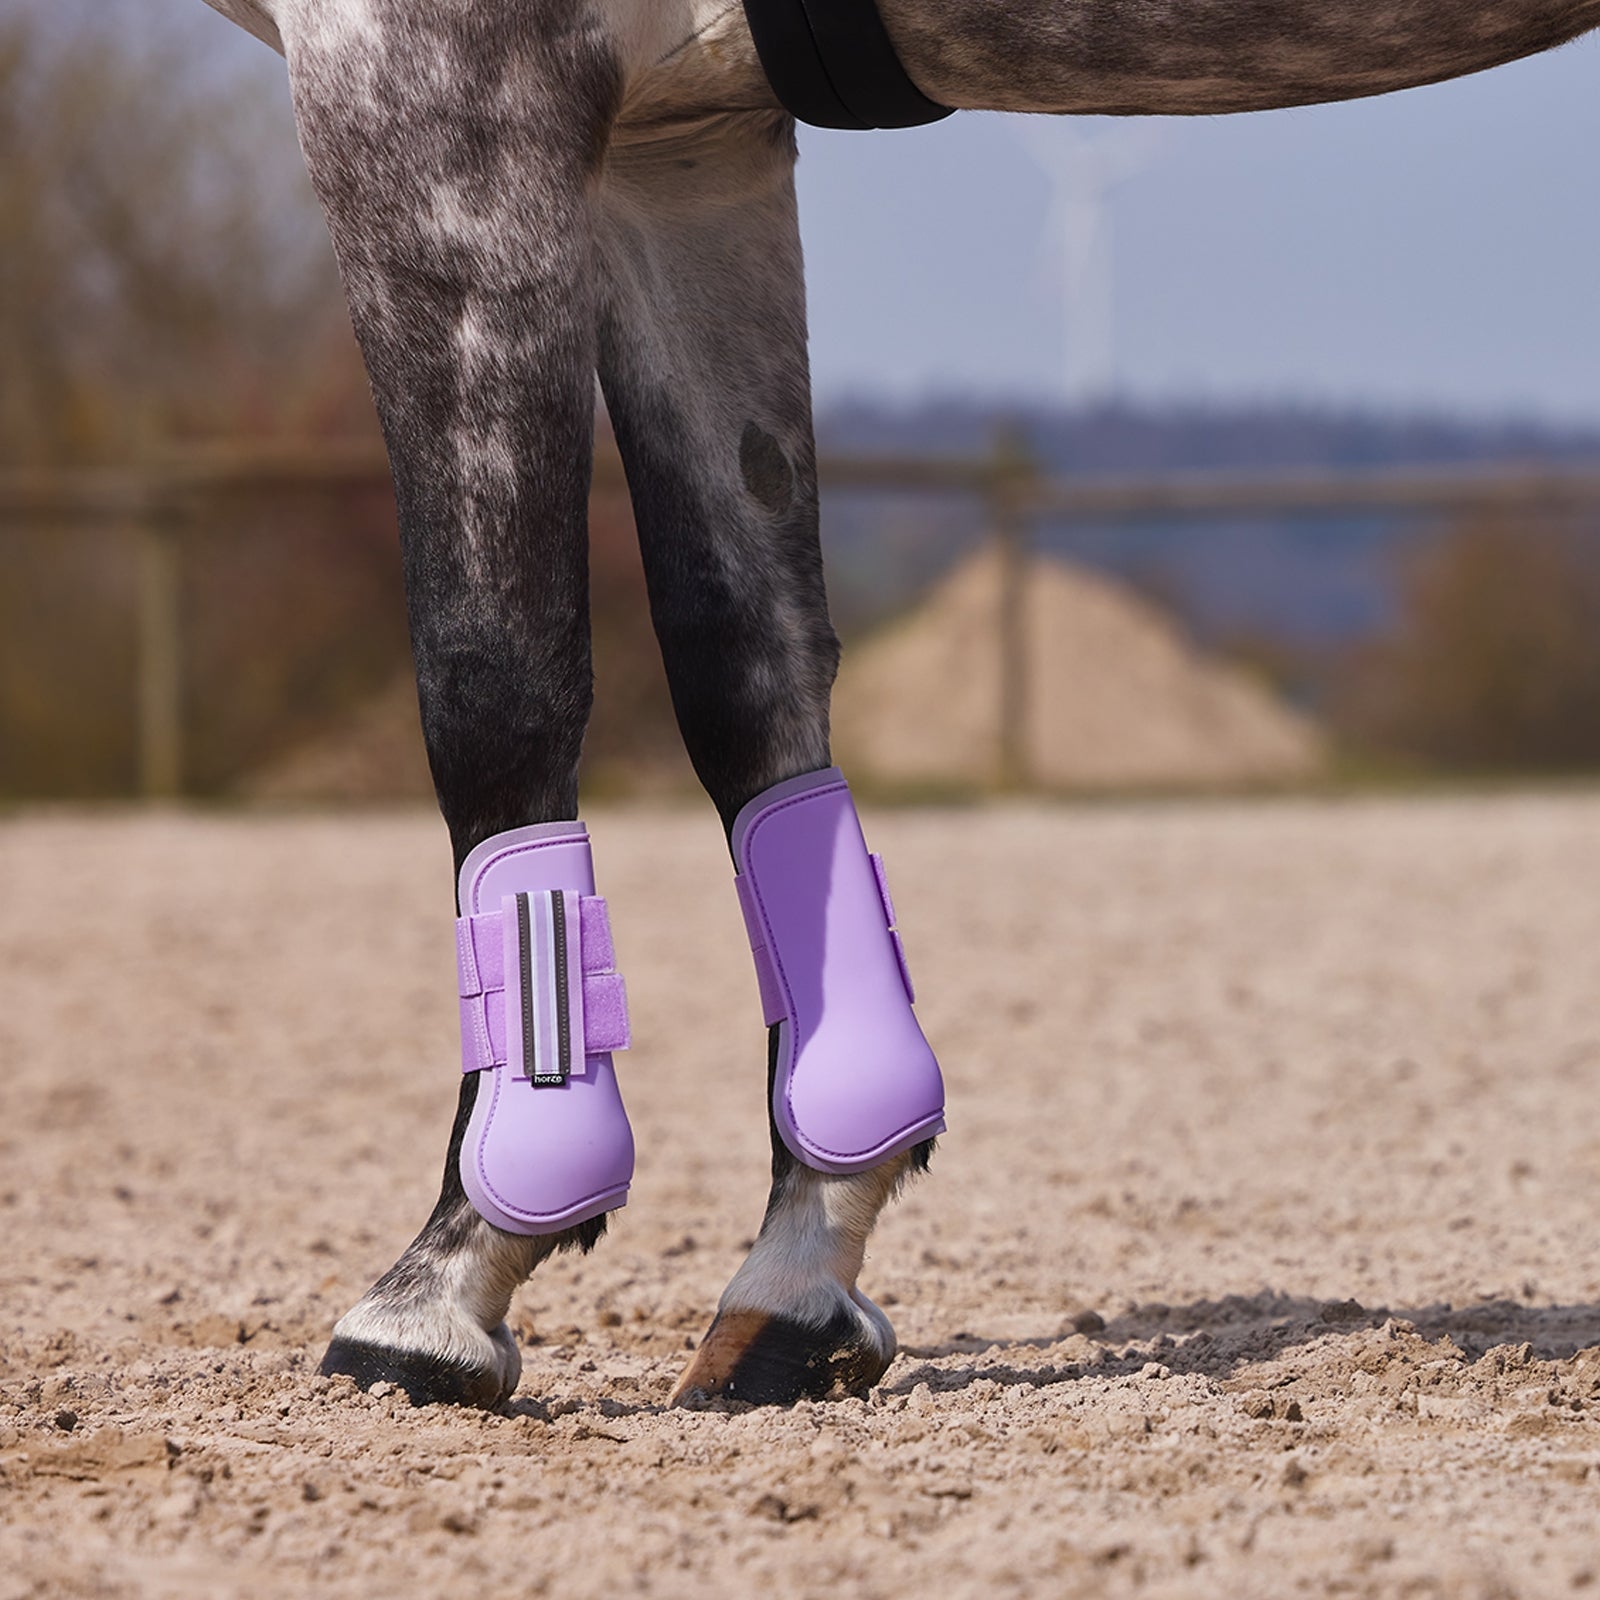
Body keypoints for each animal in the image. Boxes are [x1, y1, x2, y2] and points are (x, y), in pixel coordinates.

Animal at [194, 0, 1600, 1409]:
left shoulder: (443, 86)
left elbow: (494, 668)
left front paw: (444, 1280)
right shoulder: (682, 145)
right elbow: (744, 657)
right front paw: (805, 1257)